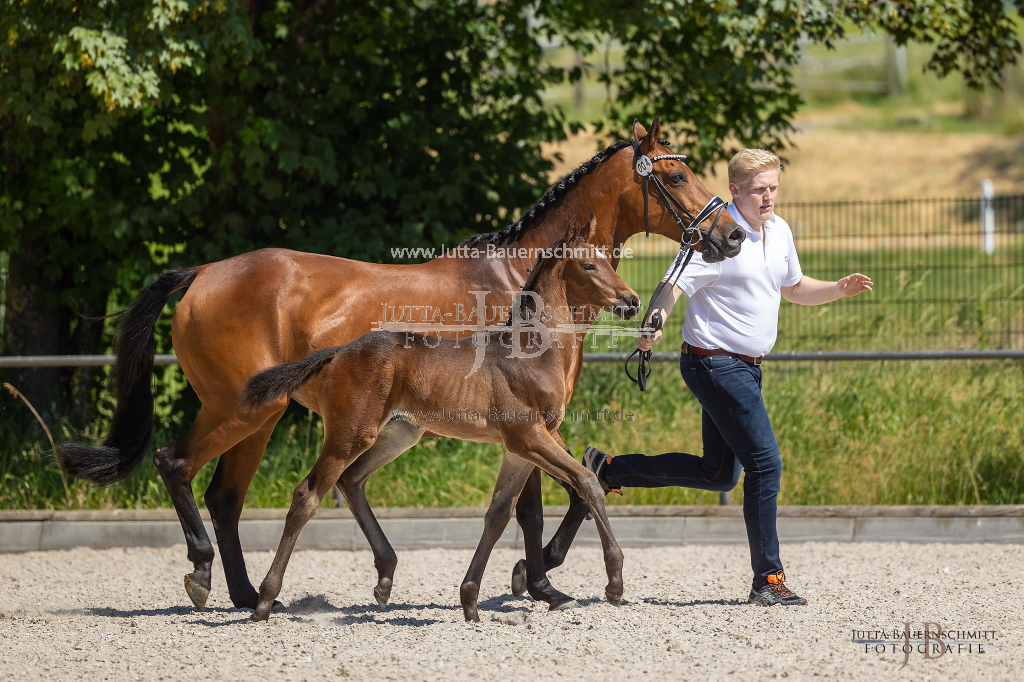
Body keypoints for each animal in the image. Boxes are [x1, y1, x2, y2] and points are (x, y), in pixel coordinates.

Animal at [242, 215, 634, 618]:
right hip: (350, 434)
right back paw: (264, 600)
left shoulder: (522, 448)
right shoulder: (528, 437)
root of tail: (340, 351)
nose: (632, 301)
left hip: (399, 435)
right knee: (306, 496)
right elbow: (588, 482)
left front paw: (470, 599)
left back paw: (384, 580)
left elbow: (498, 514)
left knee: (351, 480)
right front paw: (614, 583)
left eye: (607, 260)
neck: (530, 353)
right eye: (589, 265)